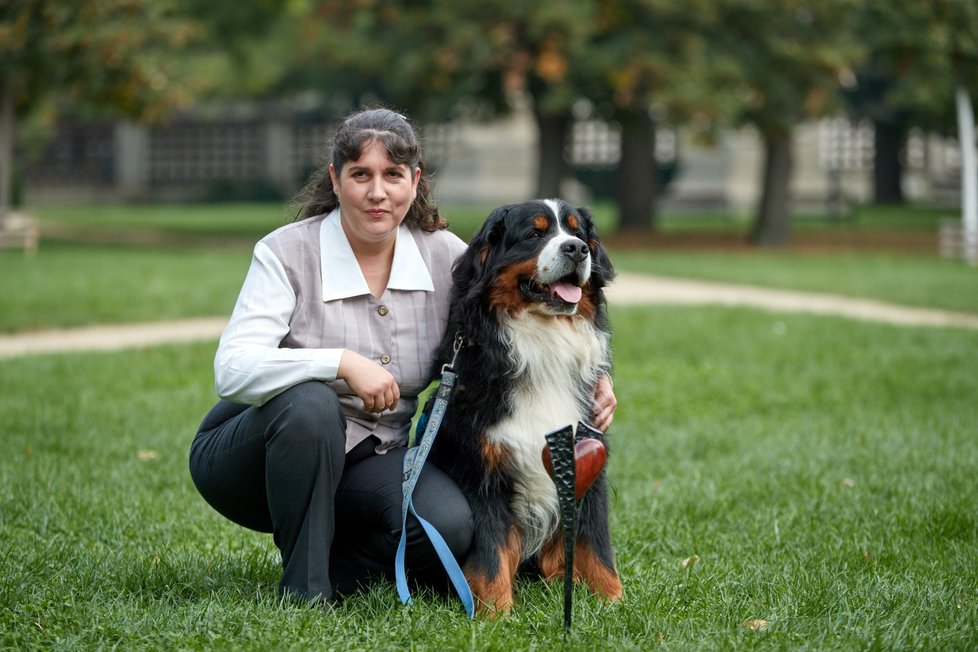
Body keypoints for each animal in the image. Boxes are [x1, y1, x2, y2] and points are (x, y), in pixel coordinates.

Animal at [430, 197, 620, 616]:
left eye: (578, 233)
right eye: (534, 234)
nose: (577, 250)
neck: (543, 343)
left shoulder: (589, 457)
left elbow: (598, 545)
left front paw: (615, 602)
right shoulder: (482, 471)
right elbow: (491, 553)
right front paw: (496, 614)